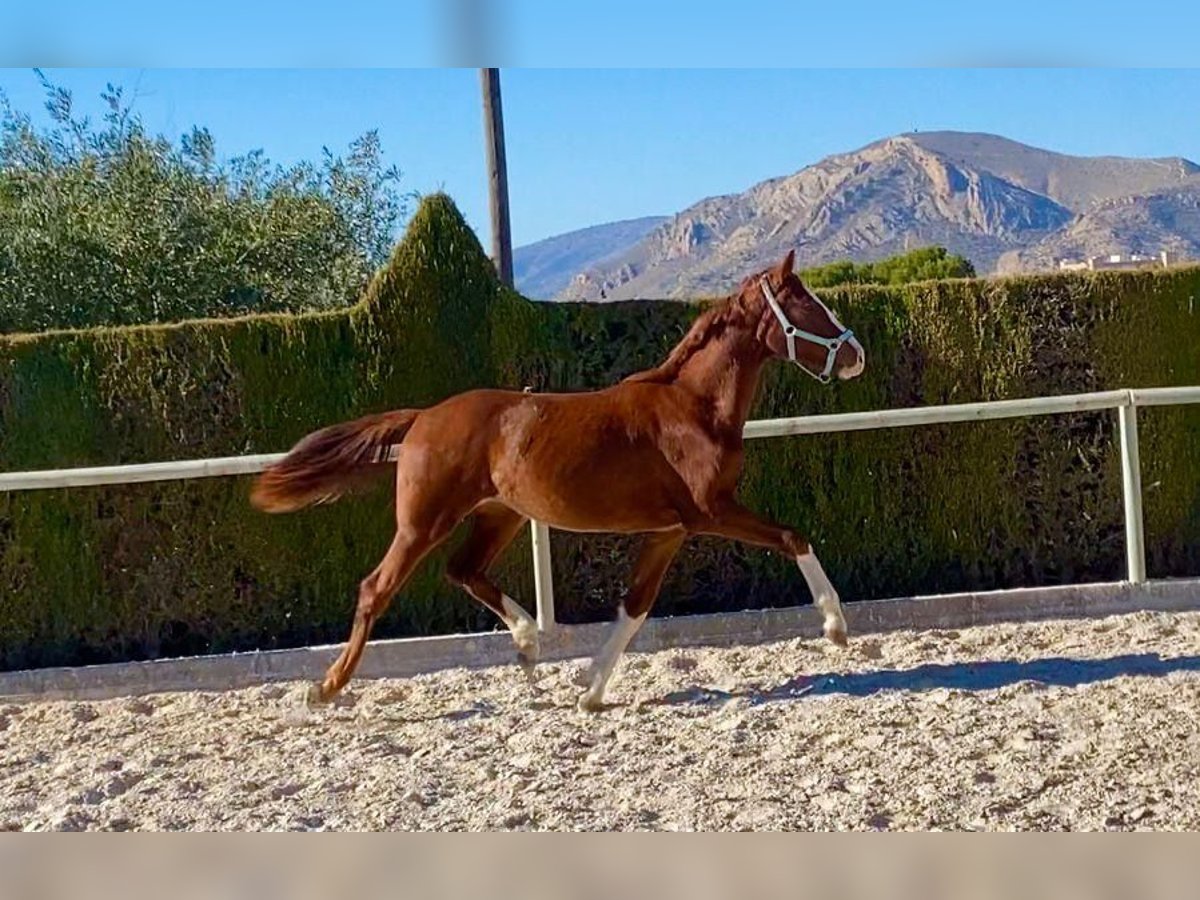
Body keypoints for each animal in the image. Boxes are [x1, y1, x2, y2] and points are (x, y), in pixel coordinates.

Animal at [253, 252, 868, 710]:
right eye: (806, 304)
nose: (857, 355)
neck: (694, 409)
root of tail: (424, 416)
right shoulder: (711, 511)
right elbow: (793, 537)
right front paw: (836, 626)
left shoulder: (670, 530)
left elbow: (635, 604)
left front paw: (590, 691)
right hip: (423, 521)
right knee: (376, 589)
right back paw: (325, 689)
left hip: (499, 515)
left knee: (463, 570)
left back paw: (529, 645)